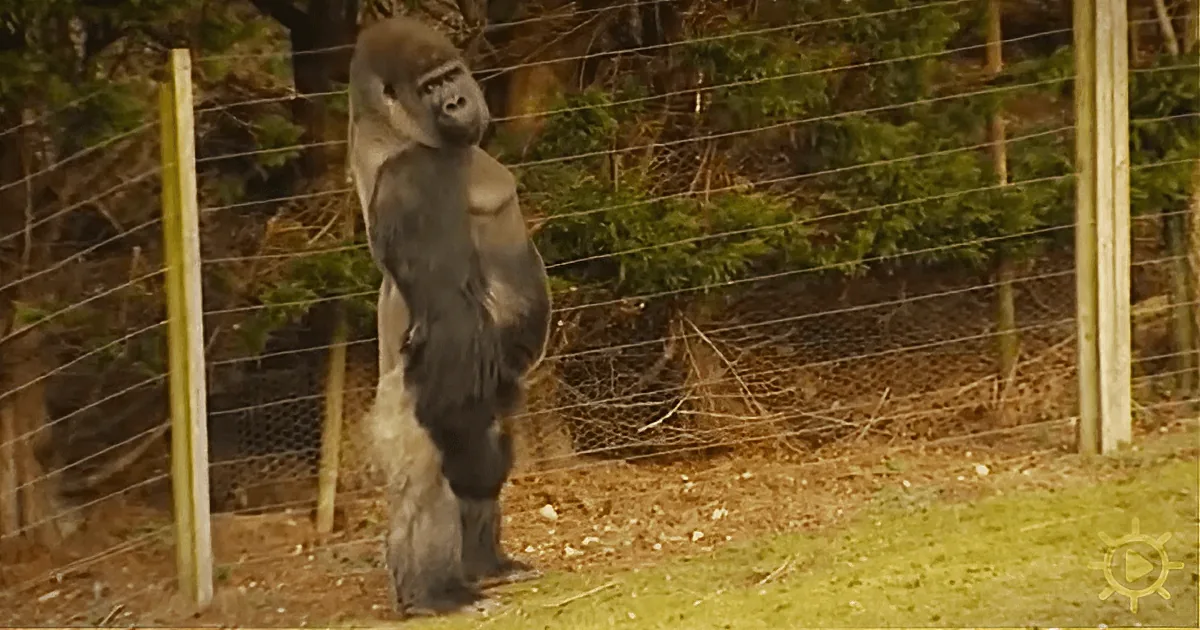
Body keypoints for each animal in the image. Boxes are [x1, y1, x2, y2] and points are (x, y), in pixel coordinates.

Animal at [347, 16, 552, 616]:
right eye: (432, 88)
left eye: (452, 75)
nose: (458, 100)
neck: (394, 129)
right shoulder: (415, 181)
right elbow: (448, 316)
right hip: (406, 401)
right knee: (438, 473)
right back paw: (435, 594)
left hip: (492, 386)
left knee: (487, 433)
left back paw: (488, 564)